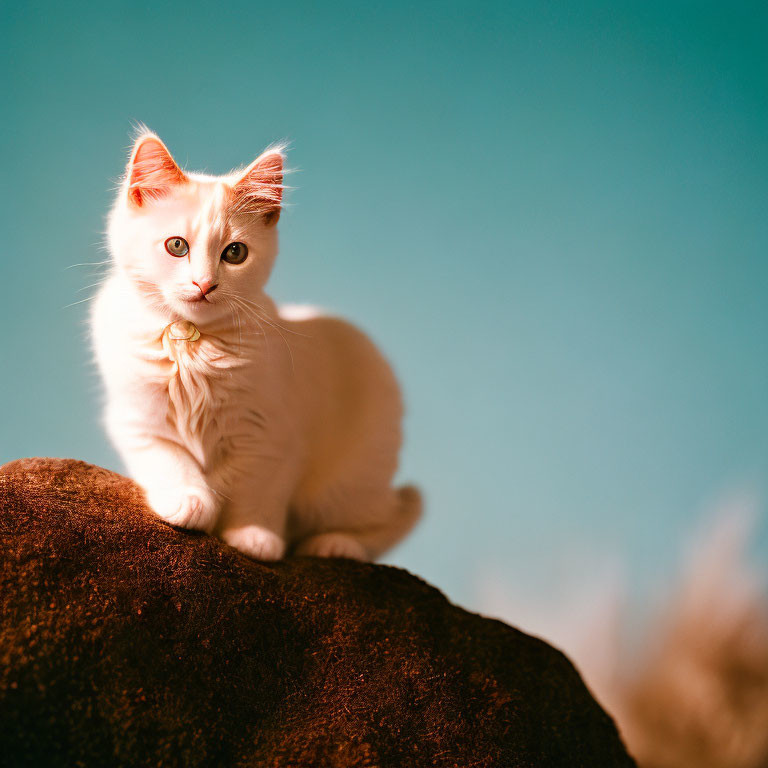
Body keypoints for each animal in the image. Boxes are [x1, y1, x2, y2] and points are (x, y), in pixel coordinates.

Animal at [94, 132, 426, 560]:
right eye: (177, 246)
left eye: (235, 253)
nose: (204, 284)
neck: (195, 347)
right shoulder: (136, 420)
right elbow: (171, 459)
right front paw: (191, 500)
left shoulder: (273, 437)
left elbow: (256, 489)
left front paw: (253, 535)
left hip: (347, 485)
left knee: (385, 524)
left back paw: (335, 544)